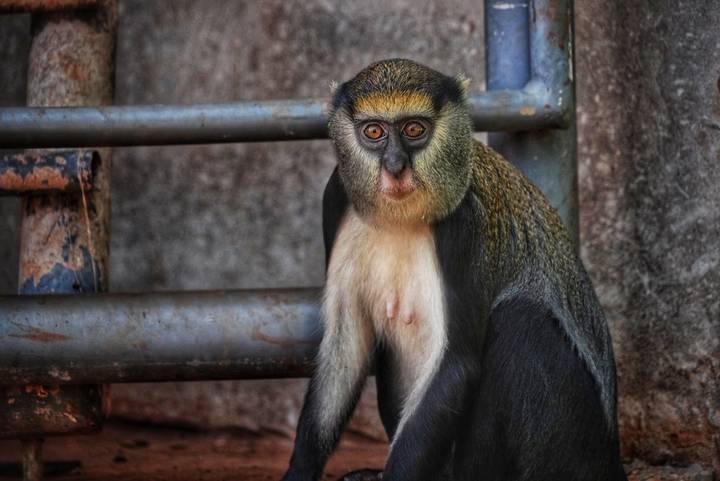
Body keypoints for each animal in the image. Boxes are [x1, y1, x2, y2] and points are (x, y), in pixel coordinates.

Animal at [280, 58, 627, 481]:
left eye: (415, 130)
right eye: (374, 132)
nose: (395, 167)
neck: (400, 218)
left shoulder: (465, 225)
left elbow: (456, 363)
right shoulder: (336, 196)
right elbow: (344, 348)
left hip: (576, 450)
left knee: (520, 319)